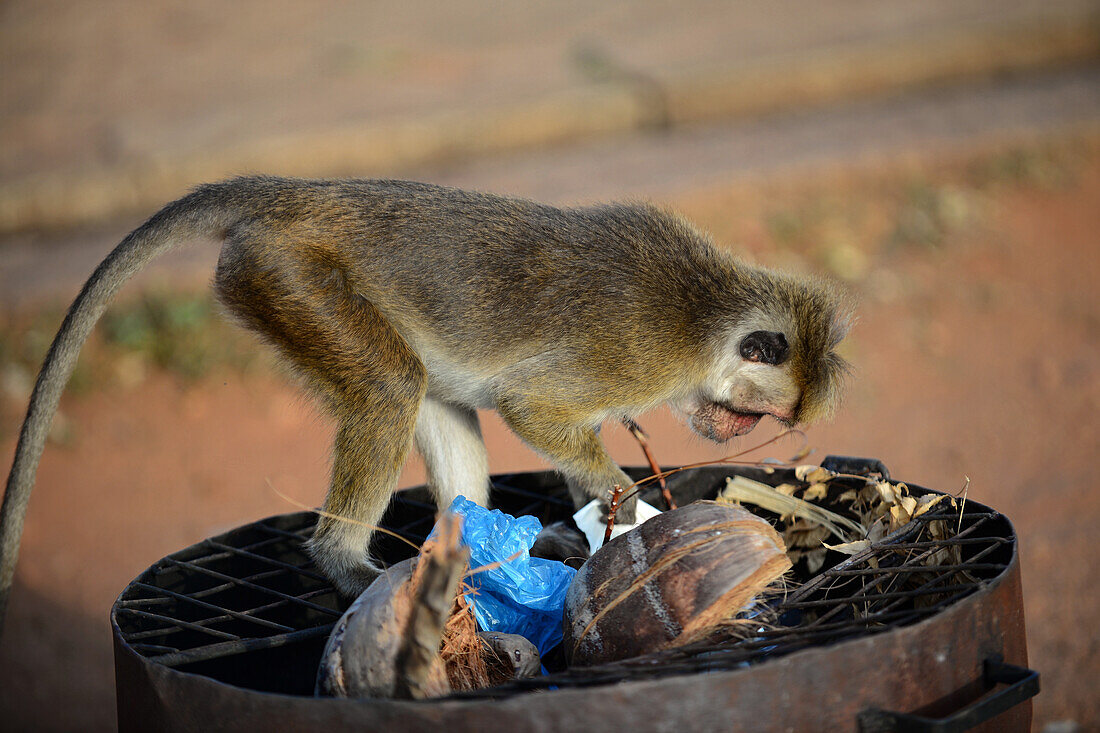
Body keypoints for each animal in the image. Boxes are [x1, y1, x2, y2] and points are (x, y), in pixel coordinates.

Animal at [0, 173, 849, 625]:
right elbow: (531, 407)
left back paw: (475, 555)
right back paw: (344, 562)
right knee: (389, 388)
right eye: (753, 414)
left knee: (433, 397)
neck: (708, 313)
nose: (730, 431)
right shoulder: (638, 355)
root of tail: (297, 197)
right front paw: (630, 508)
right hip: (289, 276)